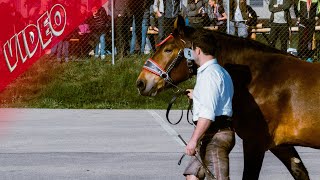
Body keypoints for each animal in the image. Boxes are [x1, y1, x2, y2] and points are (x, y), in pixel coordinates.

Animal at [136, 16, 320, 179]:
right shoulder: (281, 146)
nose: (141, 82)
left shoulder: (255, 142)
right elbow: (300, 172)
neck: (259, 77)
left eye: (168, 49)